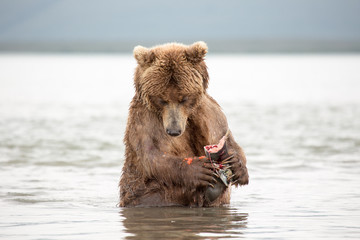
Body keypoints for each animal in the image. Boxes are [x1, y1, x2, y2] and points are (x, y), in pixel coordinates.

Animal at [119, 41, 249, 206]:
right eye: (162, 99)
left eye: (184, 98)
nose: (174, 130)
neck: (187, 118)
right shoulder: (144, 119)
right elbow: (152, 155)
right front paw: (198, 170)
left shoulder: (210, 112)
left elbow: (226, 138)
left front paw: (238, 167)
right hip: (143, 192)